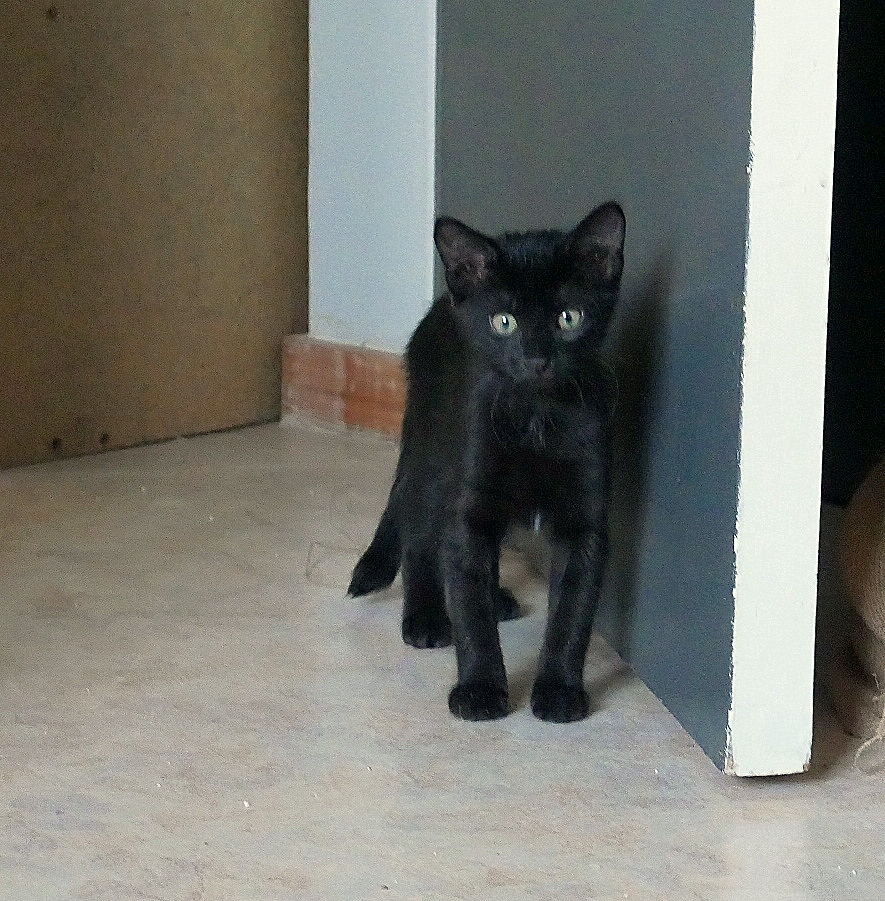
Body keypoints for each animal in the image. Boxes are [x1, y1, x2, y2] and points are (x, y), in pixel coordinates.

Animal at [349, 201, 626, 722]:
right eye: (504, 322)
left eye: (569, 318)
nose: (537, 360)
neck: (536, 416)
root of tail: (443, 303)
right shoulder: (470, 499)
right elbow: (468, 604)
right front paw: (479, 689)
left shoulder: (585, 516)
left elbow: (573, 609)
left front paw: (559, 690)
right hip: (434, 458)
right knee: (421, 532)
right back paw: (425, 615)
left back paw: (495, 598)